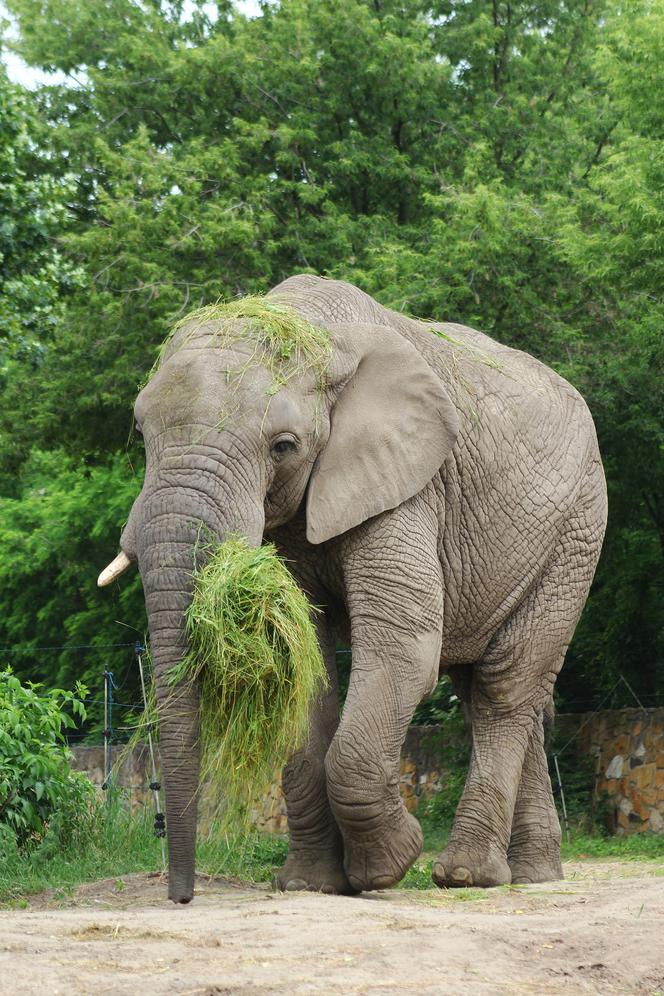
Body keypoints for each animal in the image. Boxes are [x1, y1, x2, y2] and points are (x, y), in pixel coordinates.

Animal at [98, 272, 608, 904]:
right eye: (140, 432)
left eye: (283, 446)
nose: (182, 896)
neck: (309, 328)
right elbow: (303, 659)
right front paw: (309, 884)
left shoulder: (410, 482)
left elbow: (402, 642)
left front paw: (384, 868)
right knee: (492, 687)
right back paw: (531, 874)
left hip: (578, 531)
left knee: (506, 685)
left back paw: (466, 875)